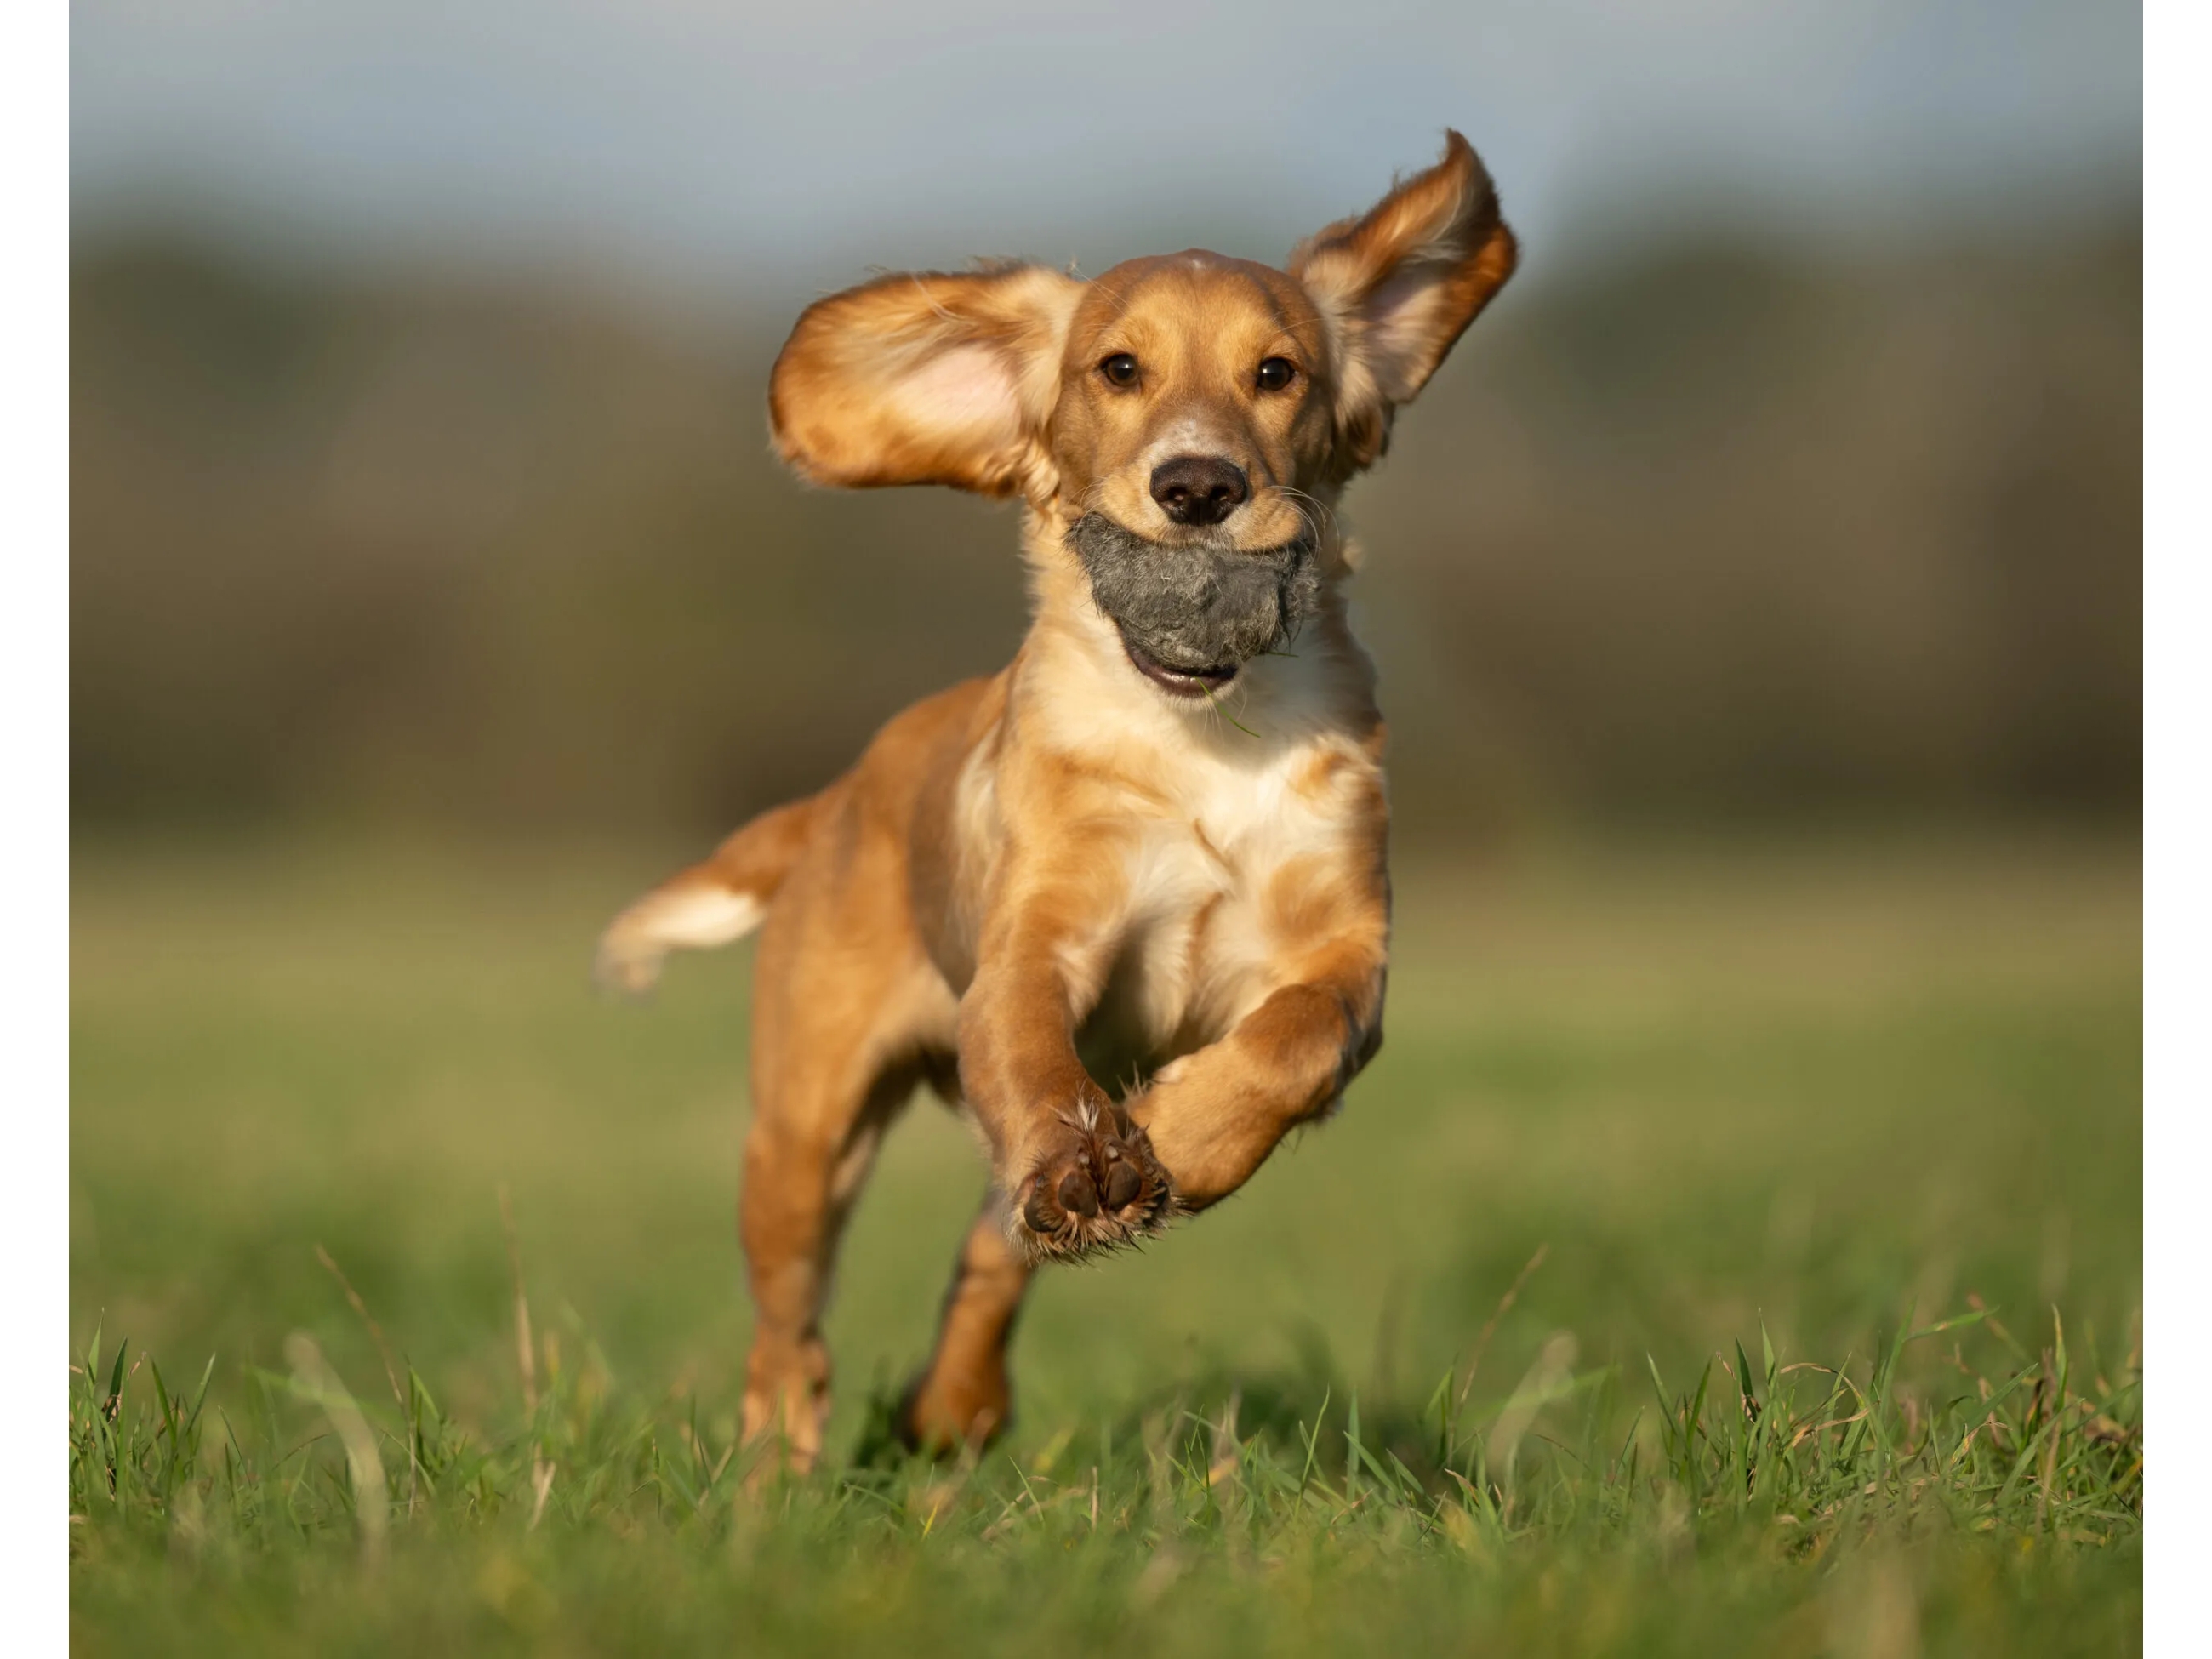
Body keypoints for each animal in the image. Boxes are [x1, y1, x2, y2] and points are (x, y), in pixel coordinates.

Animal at [597, 136, 1513, 1477]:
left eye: (1276, 373)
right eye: (1118, 369)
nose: (1198, 485)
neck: (1199, 740)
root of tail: (836, 795)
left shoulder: (1346, 951)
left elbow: (1294, 1039)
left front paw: (1181, 1134)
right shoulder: (1035, 945)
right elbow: (1034, 1053)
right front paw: (1100, 1153)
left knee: (990, 1248)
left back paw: (954, 1403)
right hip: (803, 1129)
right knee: (790, 1327)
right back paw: (778, 1478)